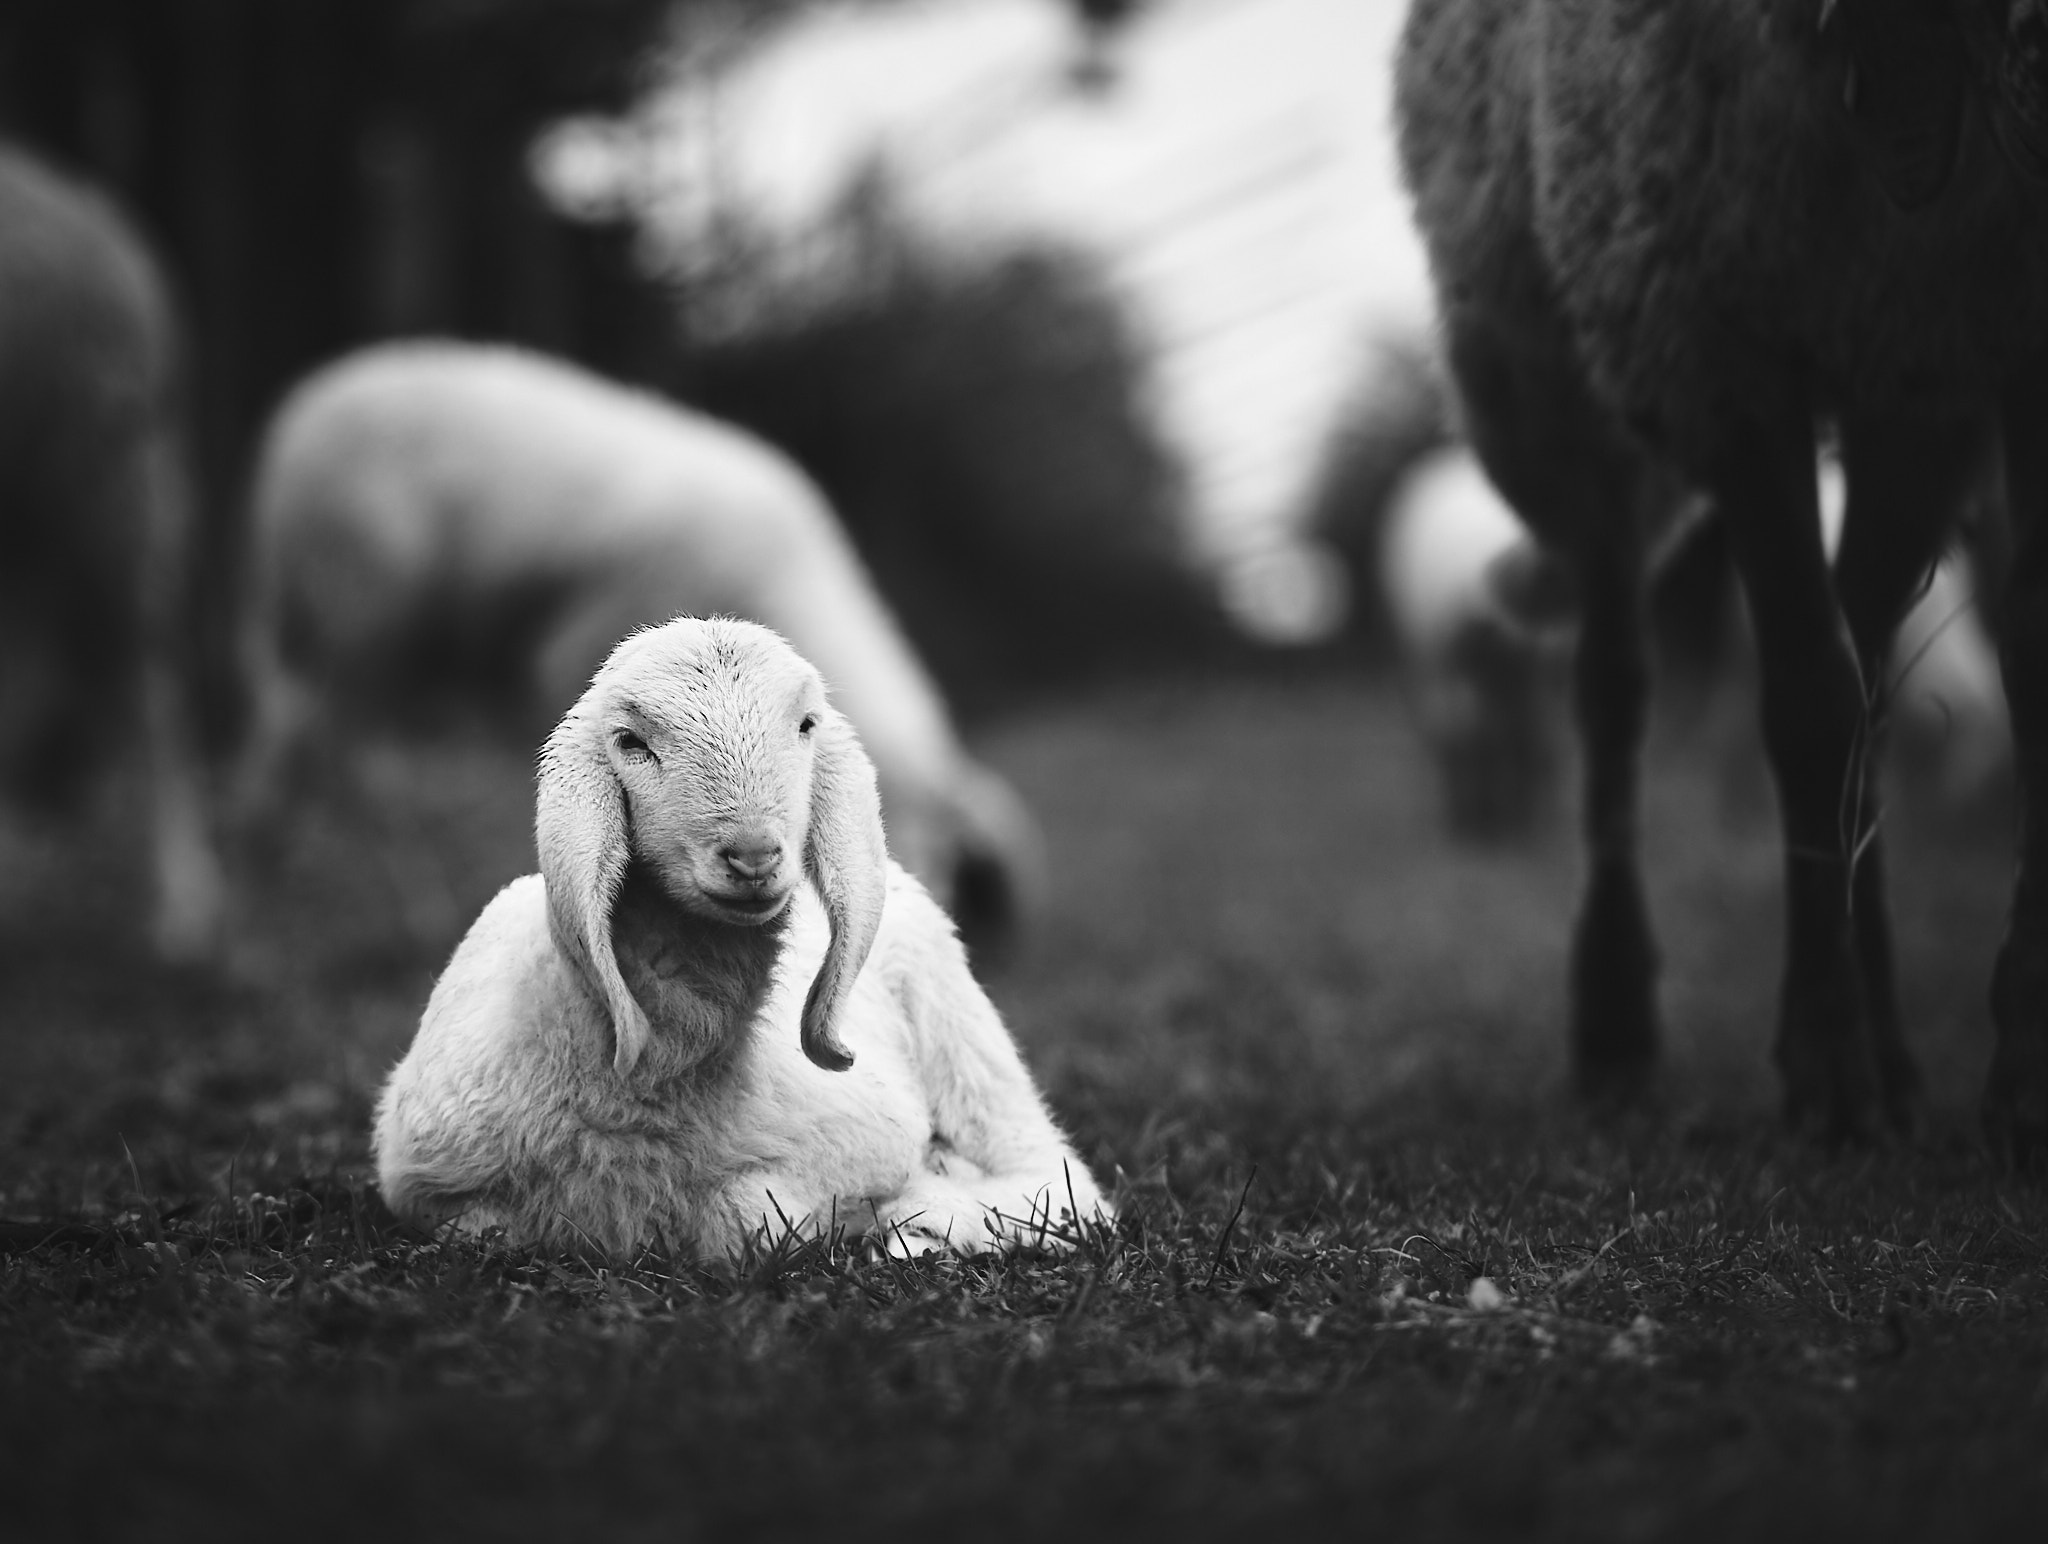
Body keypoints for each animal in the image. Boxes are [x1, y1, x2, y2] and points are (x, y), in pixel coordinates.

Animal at [235, 340, 1039, 950]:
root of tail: (300, 417)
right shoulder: (577, 658)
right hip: (365, 616)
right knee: (356, 766)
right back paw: (405, 907)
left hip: (325, 631)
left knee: (291, 746)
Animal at [373, 615, 1108, 1259]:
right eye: (630, 741)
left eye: (806, 724)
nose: (754, 856)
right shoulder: (422, 1183)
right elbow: (485, 1227)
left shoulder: (861, 1136)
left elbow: (751, 1218)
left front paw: (896, 1208)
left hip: (963, 1038)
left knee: (1063, 1187)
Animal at [1395, 0, 2048, 1154]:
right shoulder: (1707, 323)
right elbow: (1804, 697)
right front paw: (1825, 1065)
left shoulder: (2004, 319)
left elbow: (2025, 655)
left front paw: (2019, 1070)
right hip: (1564, 381)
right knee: (1615, 684)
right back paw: (1615, 1024)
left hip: (1911, 379)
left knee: (1867, 658)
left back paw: (1891, 1046)